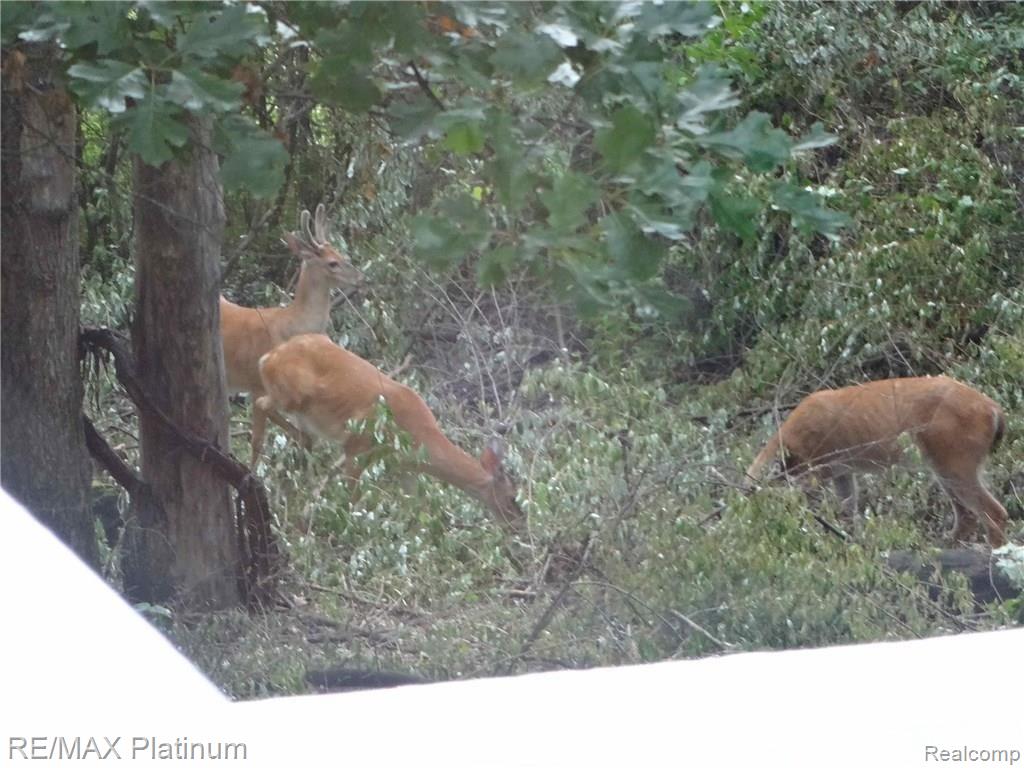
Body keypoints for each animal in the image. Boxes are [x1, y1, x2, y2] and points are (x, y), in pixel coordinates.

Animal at [220, 204, 364, 463]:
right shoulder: (257, 383)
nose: (360, 277)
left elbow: (304, 437)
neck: (292, 325)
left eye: (340, 253)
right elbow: (258, 441)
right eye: (332, 263)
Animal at [252, 333, 525, 537]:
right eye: (512, 497)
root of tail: (268, 358)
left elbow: (414, 507)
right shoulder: (357, 446)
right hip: (293, 394)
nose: (517, 525)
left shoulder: (403, 468)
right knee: (259, 403)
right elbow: (353, 501)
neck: (419, 435)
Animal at [745, 376, 1008, 548]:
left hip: (955, 458)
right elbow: (848, 511)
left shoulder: (815, 468)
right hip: (945, 464)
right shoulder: (842, 470)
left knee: (994, 512)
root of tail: (995, 410)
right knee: (967, 516)